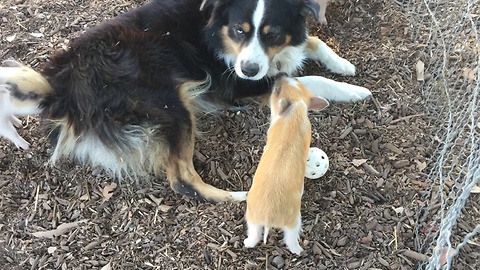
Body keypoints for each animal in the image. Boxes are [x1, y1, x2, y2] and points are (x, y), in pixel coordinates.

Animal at [0, 0, 372, 202]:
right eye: (239, 30)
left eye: (272, 34)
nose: (249, 69)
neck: (215, 28)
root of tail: (63, 89)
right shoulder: (237, 84)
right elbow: (298, 81)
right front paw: (351, 90)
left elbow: (312, 42)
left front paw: (343, 64)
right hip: (169, 103)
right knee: (182, 180)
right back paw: (236, 196)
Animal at [244, 73, 330, 254]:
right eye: (297, 81)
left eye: (277, 90)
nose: (280, 75)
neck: (295, 110)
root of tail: (269, 217)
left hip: (266, 220)